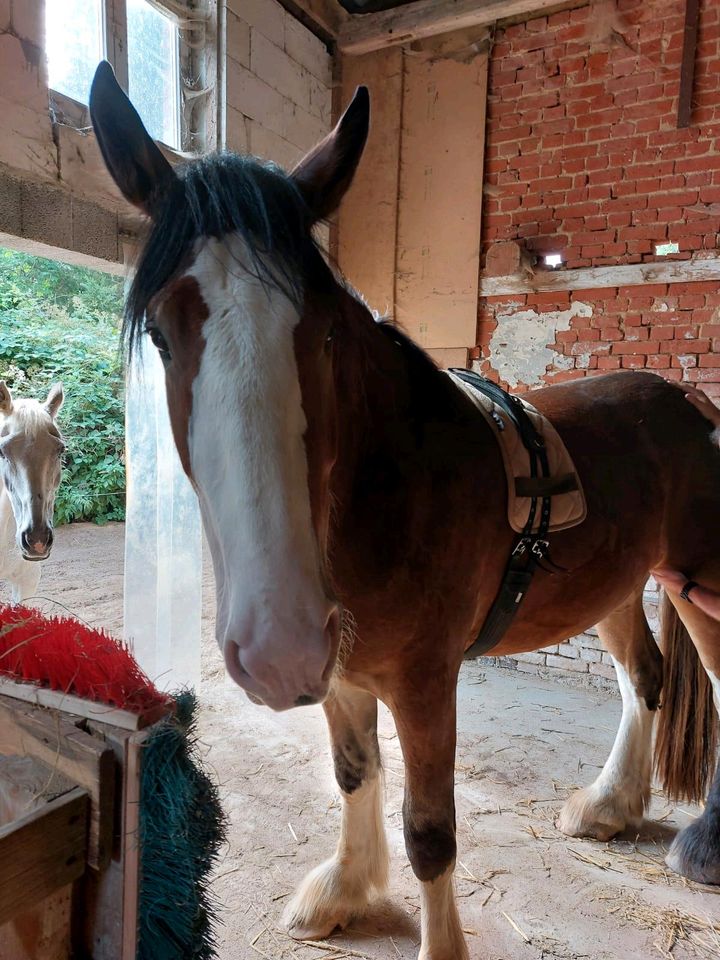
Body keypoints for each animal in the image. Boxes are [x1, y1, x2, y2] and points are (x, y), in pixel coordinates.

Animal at [91, 63, 720, 956]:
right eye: (162, 337)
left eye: (325, 335)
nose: (277, 646)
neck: (386, 496)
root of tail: (692, 405)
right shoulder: (342, 670)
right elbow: (355, 775)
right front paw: (347, 888)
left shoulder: (425, 684)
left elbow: (429, 830)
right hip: (621, 584)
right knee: (646, 679)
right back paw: (608, 806)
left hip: (704, 582)